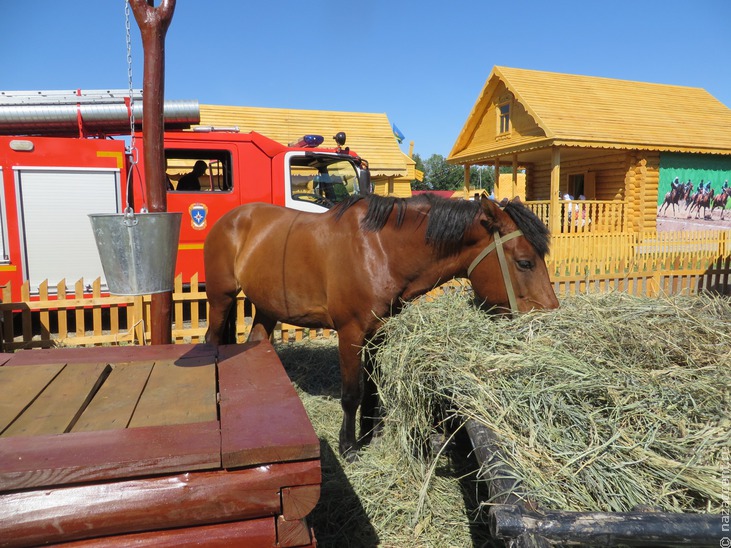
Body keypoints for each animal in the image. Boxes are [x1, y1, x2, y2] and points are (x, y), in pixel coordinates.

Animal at [206, 193, 560, 458]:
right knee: (211, 339)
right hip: (221, 299)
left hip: (267, 306)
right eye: (525, 262)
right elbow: (352, 393)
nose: (550, 315)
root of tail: (232, 218)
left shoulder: (380, 332)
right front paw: (349, 446)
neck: (380, 250)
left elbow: (373, 388)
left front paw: (371, 432)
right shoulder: (350, 333)